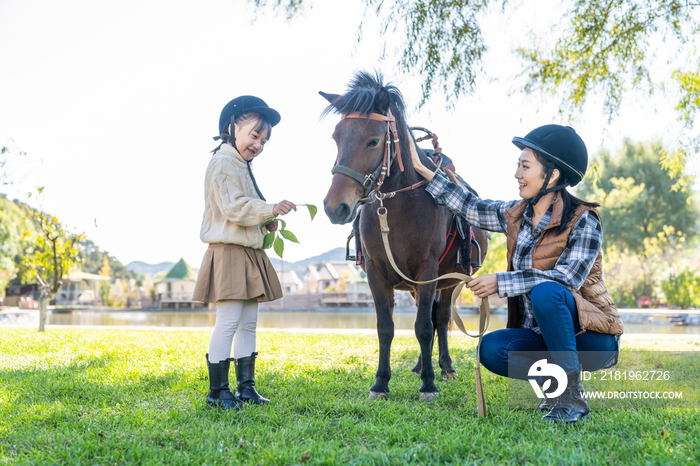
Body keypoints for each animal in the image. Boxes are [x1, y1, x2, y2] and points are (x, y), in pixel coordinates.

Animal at [322, 72, 490, 400]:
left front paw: (429, 384)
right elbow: (385, 327)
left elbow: (424, 327)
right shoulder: (376, 271)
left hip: (449, 280)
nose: (336, 207)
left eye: (374, 140)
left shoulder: (428, 270)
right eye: (336, 137)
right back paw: (418, 365)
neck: (396, 208)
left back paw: (444, 368)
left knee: (439, 319)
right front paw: (380, 383)